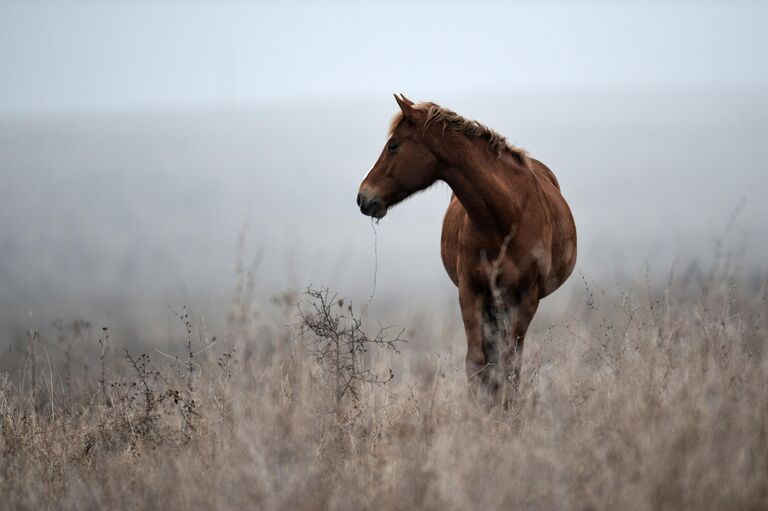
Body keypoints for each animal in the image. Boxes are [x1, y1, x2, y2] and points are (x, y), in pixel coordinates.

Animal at [356, 95, 576, 408]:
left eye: (393, 145)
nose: (363, 197)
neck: (505, 217)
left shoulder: (527, 299)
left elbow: (510, 364)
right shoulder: (471, 291)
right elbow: (477, 361)